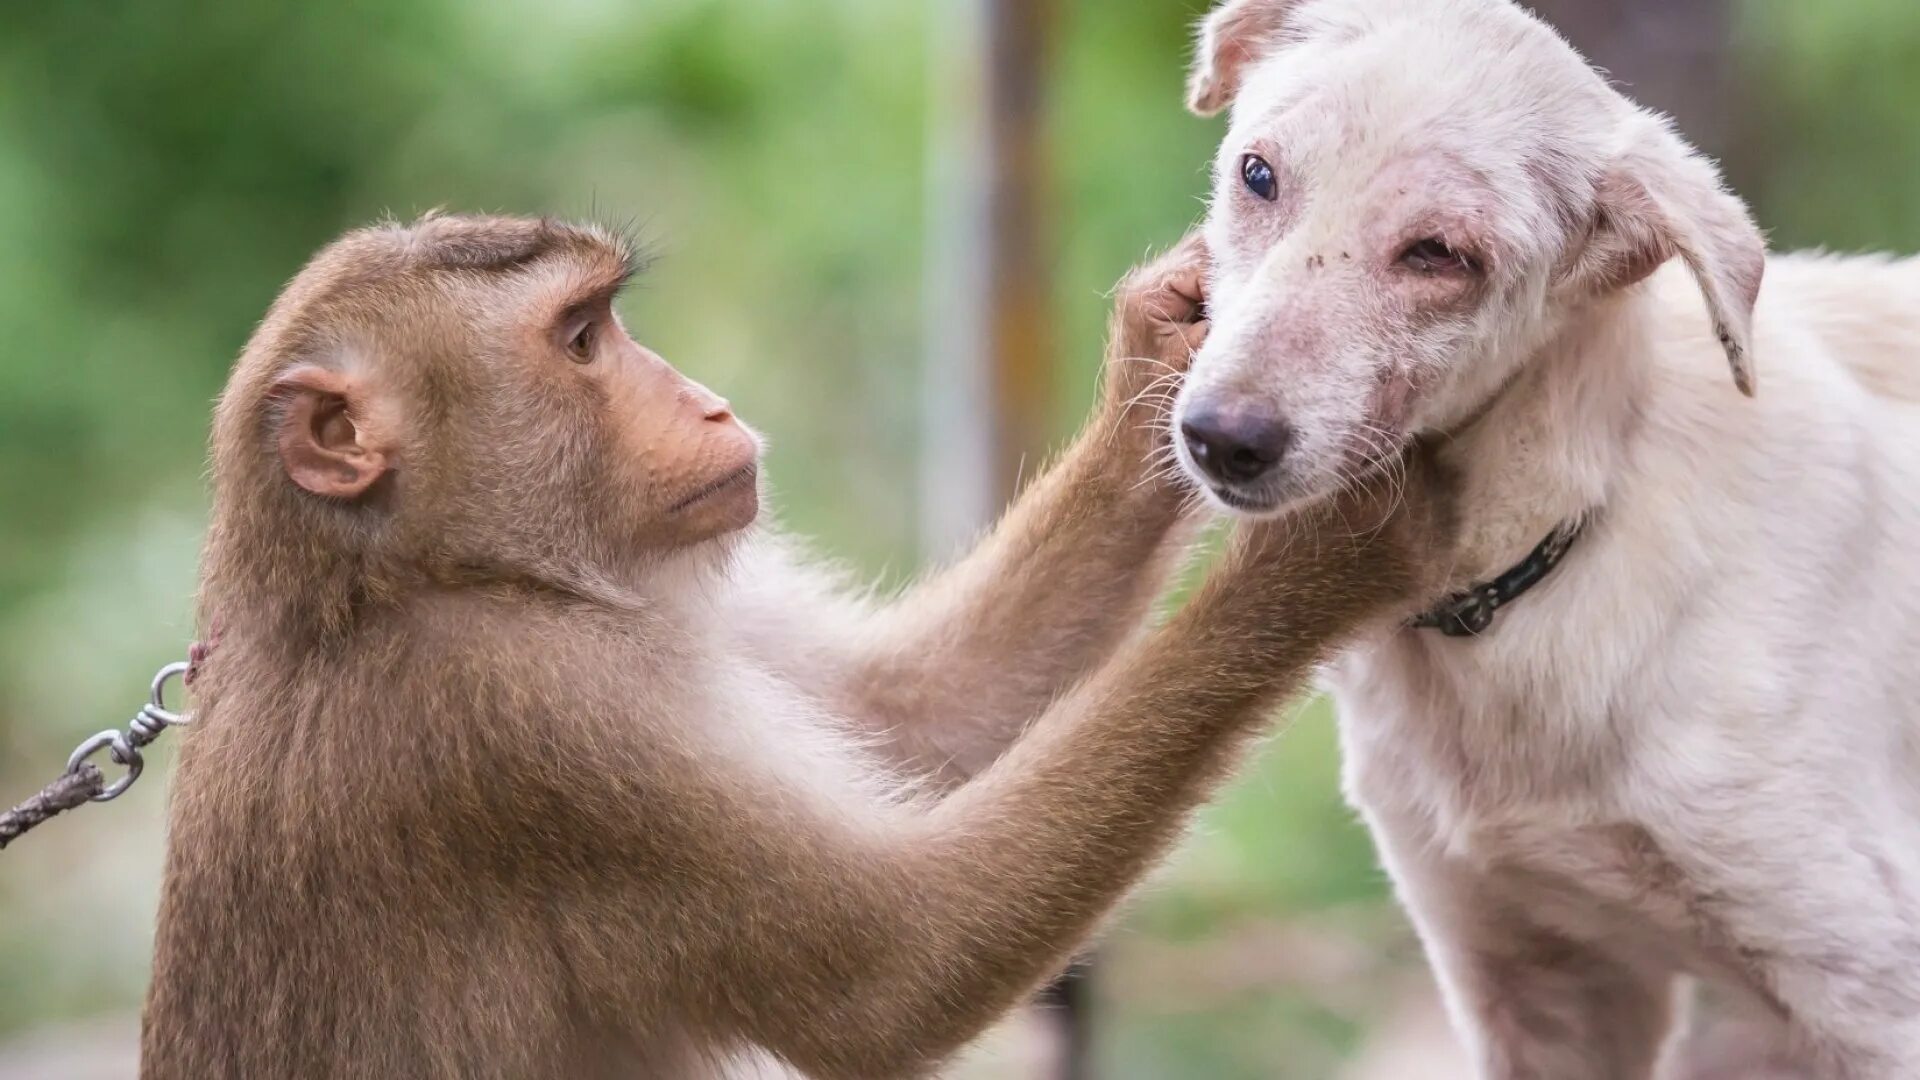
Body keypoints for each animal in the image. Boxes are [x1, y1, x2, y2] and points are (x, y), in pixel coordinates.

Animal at [142, 212, 1443, 1076]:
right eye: (579, 341)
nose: (705, 401)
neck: (409, 575)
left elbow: (916, 715)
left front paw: (1163, 342)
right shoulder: (526, 726)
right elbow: (897, 970)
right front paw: (1323, 560)